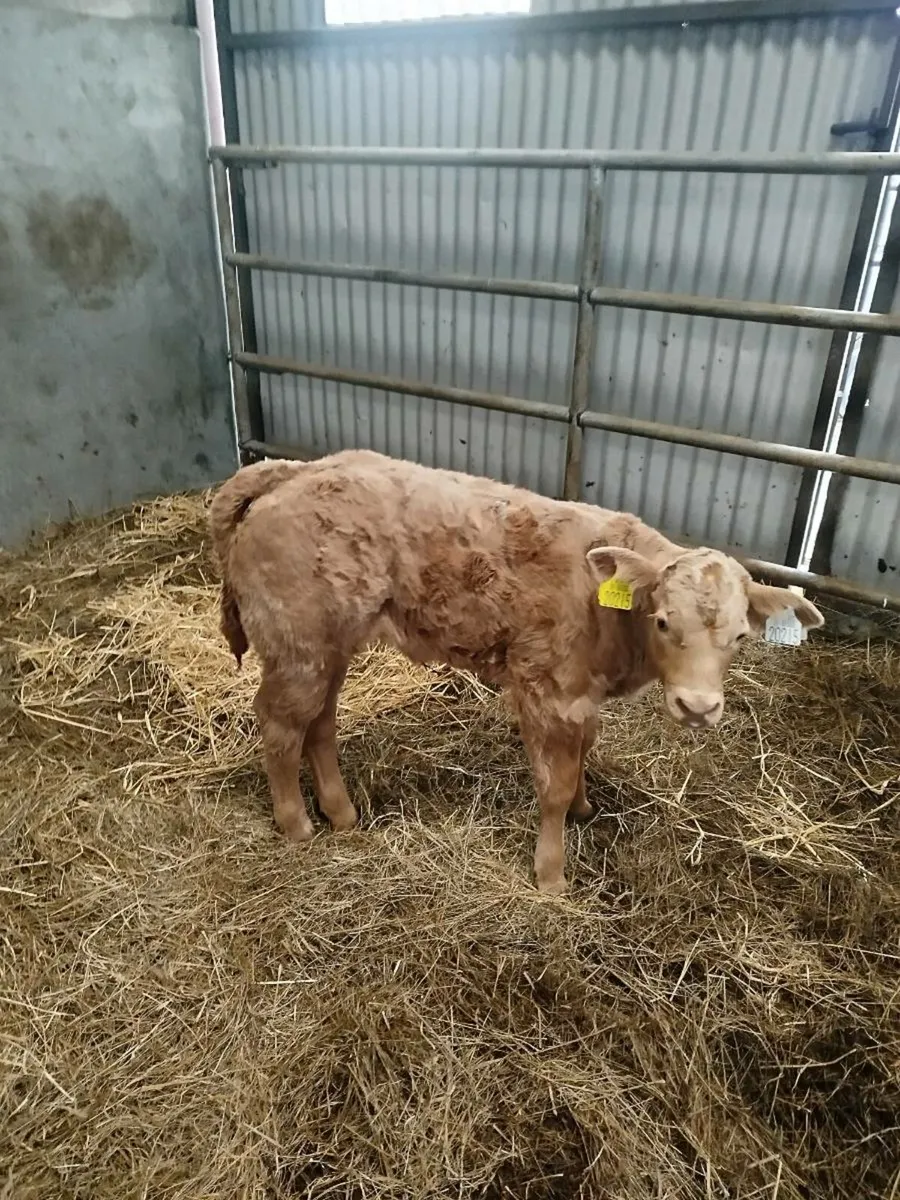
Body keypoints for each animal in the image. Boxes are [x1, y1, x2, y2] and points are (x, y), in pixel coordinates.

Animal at [209, 449, 823, 894]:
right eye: (664, 621)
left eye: (740, 636)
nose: (697, 707)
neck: (605, 608)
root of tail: (300, 469)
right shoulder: (545, 688)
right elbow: (553, 783)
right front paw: (551, 875)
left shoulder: (582, 694)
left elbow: (584, 753)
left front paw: (583, 808)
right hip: (297, 646)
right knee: (280, 727)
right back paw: (297, 824)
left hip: (327, 646)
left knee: (320, 723)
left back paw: (342, 814)